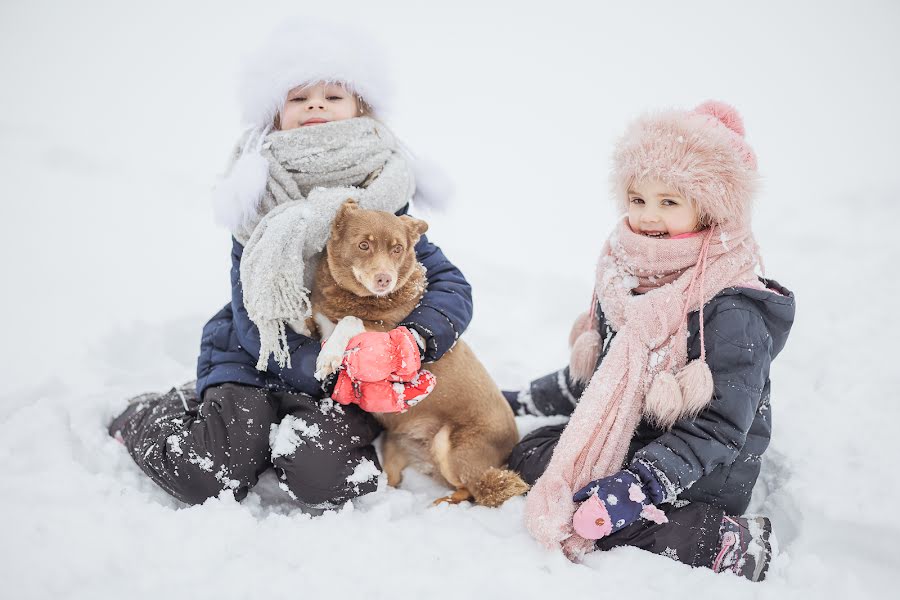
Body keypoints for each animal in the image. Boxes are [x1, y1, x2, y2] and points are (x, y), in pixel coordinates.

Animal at [312, 202, 532, 506]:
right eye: (364, 245)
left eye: (397, 249)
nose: (385, 279)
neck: (360, 299)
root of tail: (511, 445)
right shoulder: (319, 319)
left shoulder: (385, 331)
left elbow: (349, 320)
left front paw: (329, 355)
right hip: (393, 443)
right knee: (396, 479)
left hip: (452, 446)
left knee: (477, 490)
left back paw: (444, 502)